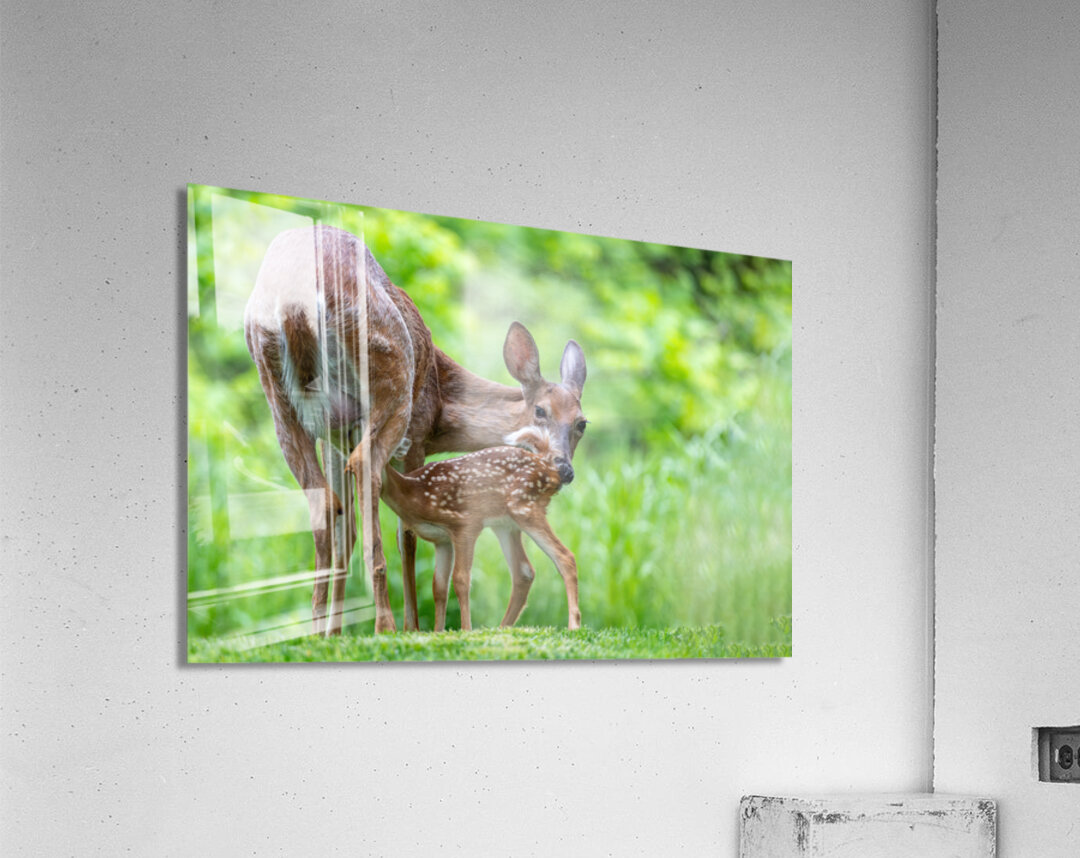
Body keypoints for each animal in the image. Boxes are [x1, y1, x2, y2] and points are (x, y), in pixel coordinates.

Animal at [372, 425, 581, 631]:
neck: (416, 494)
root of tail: (549, 467)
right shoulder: (441, 540)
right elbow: (438, 587)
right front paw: (438, 632)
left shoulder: (465, 524)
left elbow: (461, 579)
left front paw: (465, 629)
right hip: (505, 524)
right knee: (524, 571)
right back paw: (502, 628)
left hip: (525, 506)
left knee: (565, 557)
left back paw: (573, 625)